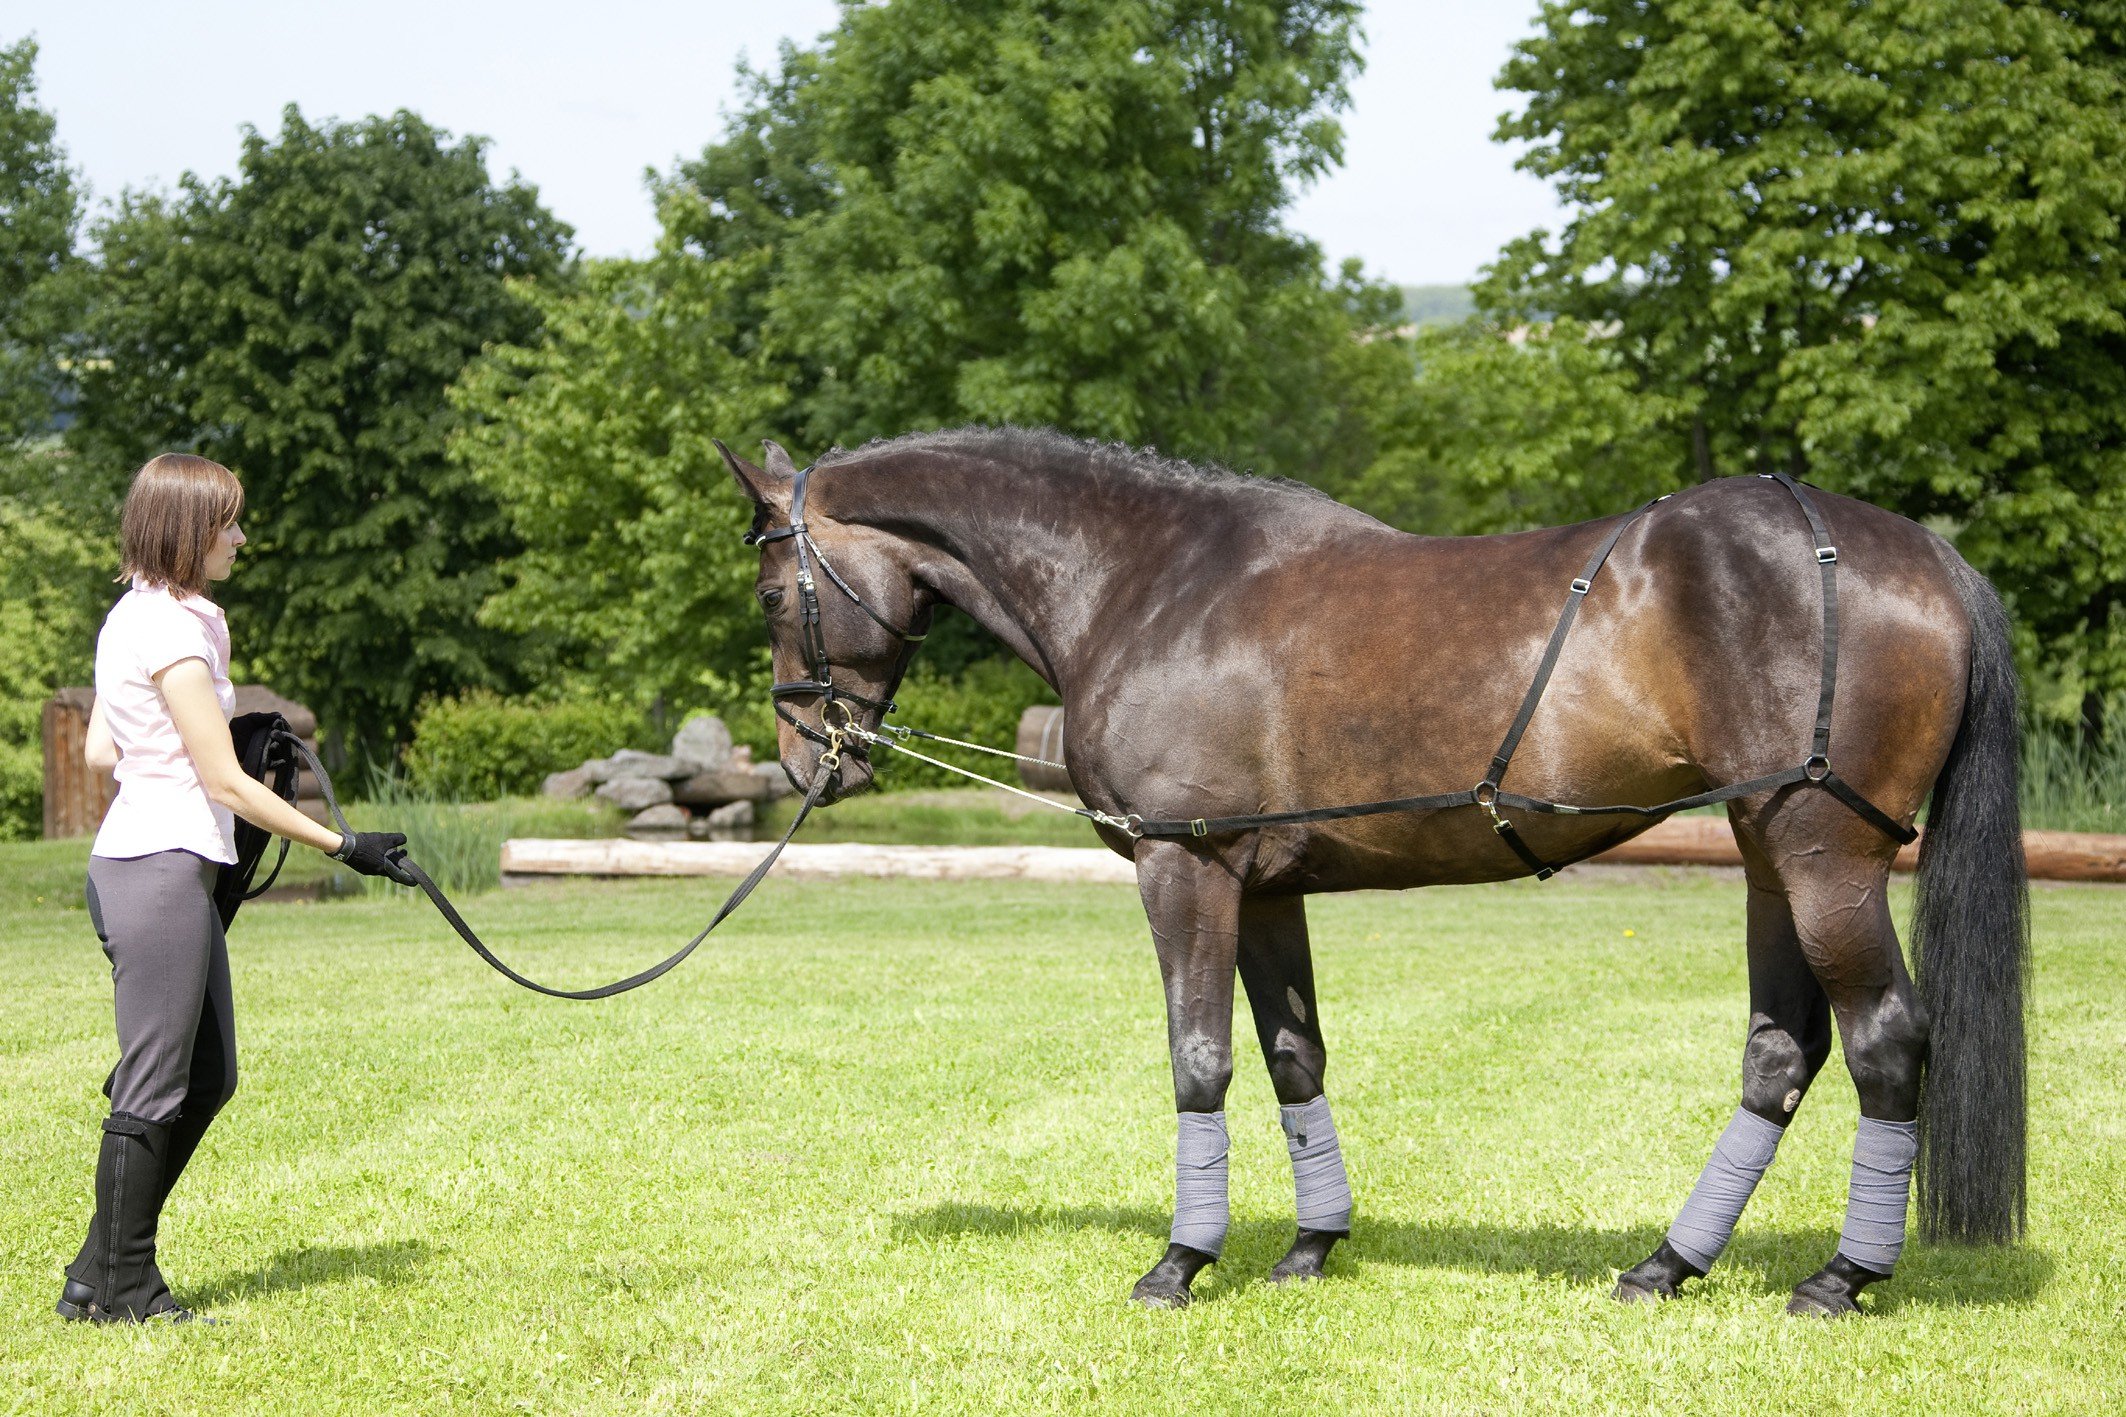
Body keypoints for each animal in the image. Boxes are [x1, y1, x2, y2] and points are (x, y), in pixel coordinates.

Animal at [715, 426, 2028, 1315]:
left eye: (776, 588)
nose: (803, 754)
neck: (1148, 580)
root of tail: (1919, 553)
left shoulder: (1183, 871)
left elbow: (1199, 1060)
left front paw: (1181, 1260)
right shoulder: (1263, 889)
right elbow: (1292, 1055)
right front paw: (1308, 1245)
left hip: (1821, 857)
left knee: (1882, 1041)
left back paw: (1839, 1275)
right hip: (1767, 855)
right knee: (1778, 1053)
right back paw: (1667, 1262)